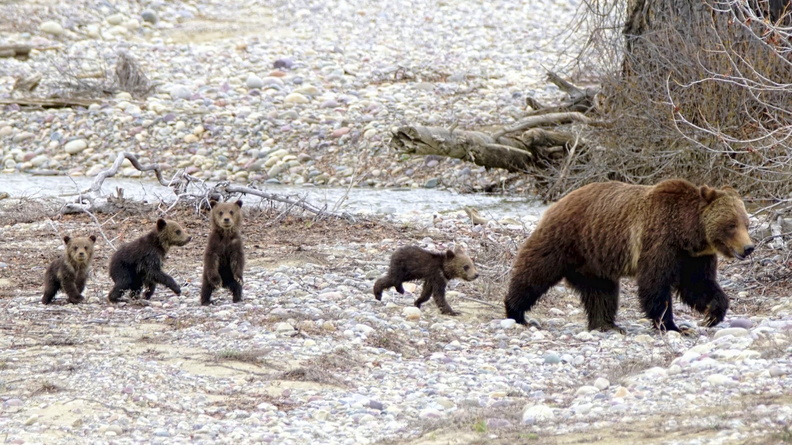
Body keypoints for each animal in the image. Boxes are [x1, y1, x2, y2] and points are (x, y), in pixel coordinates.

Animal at [504, 179, 754, 333]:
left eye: (746, 222)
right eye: (731, 224)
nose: (748, 247)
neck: (688, 233)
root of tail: (558, 202)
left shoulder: (693, 257)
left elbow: (698, 284)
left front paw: (713, 313)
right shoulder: (660, 241)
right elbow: (656, 284)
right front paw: (671, 325)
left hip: (594, 259)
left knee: (601, 291)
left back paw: (607, 324)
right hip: (566, 239)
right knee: (535, 271)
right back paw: (516, 311)